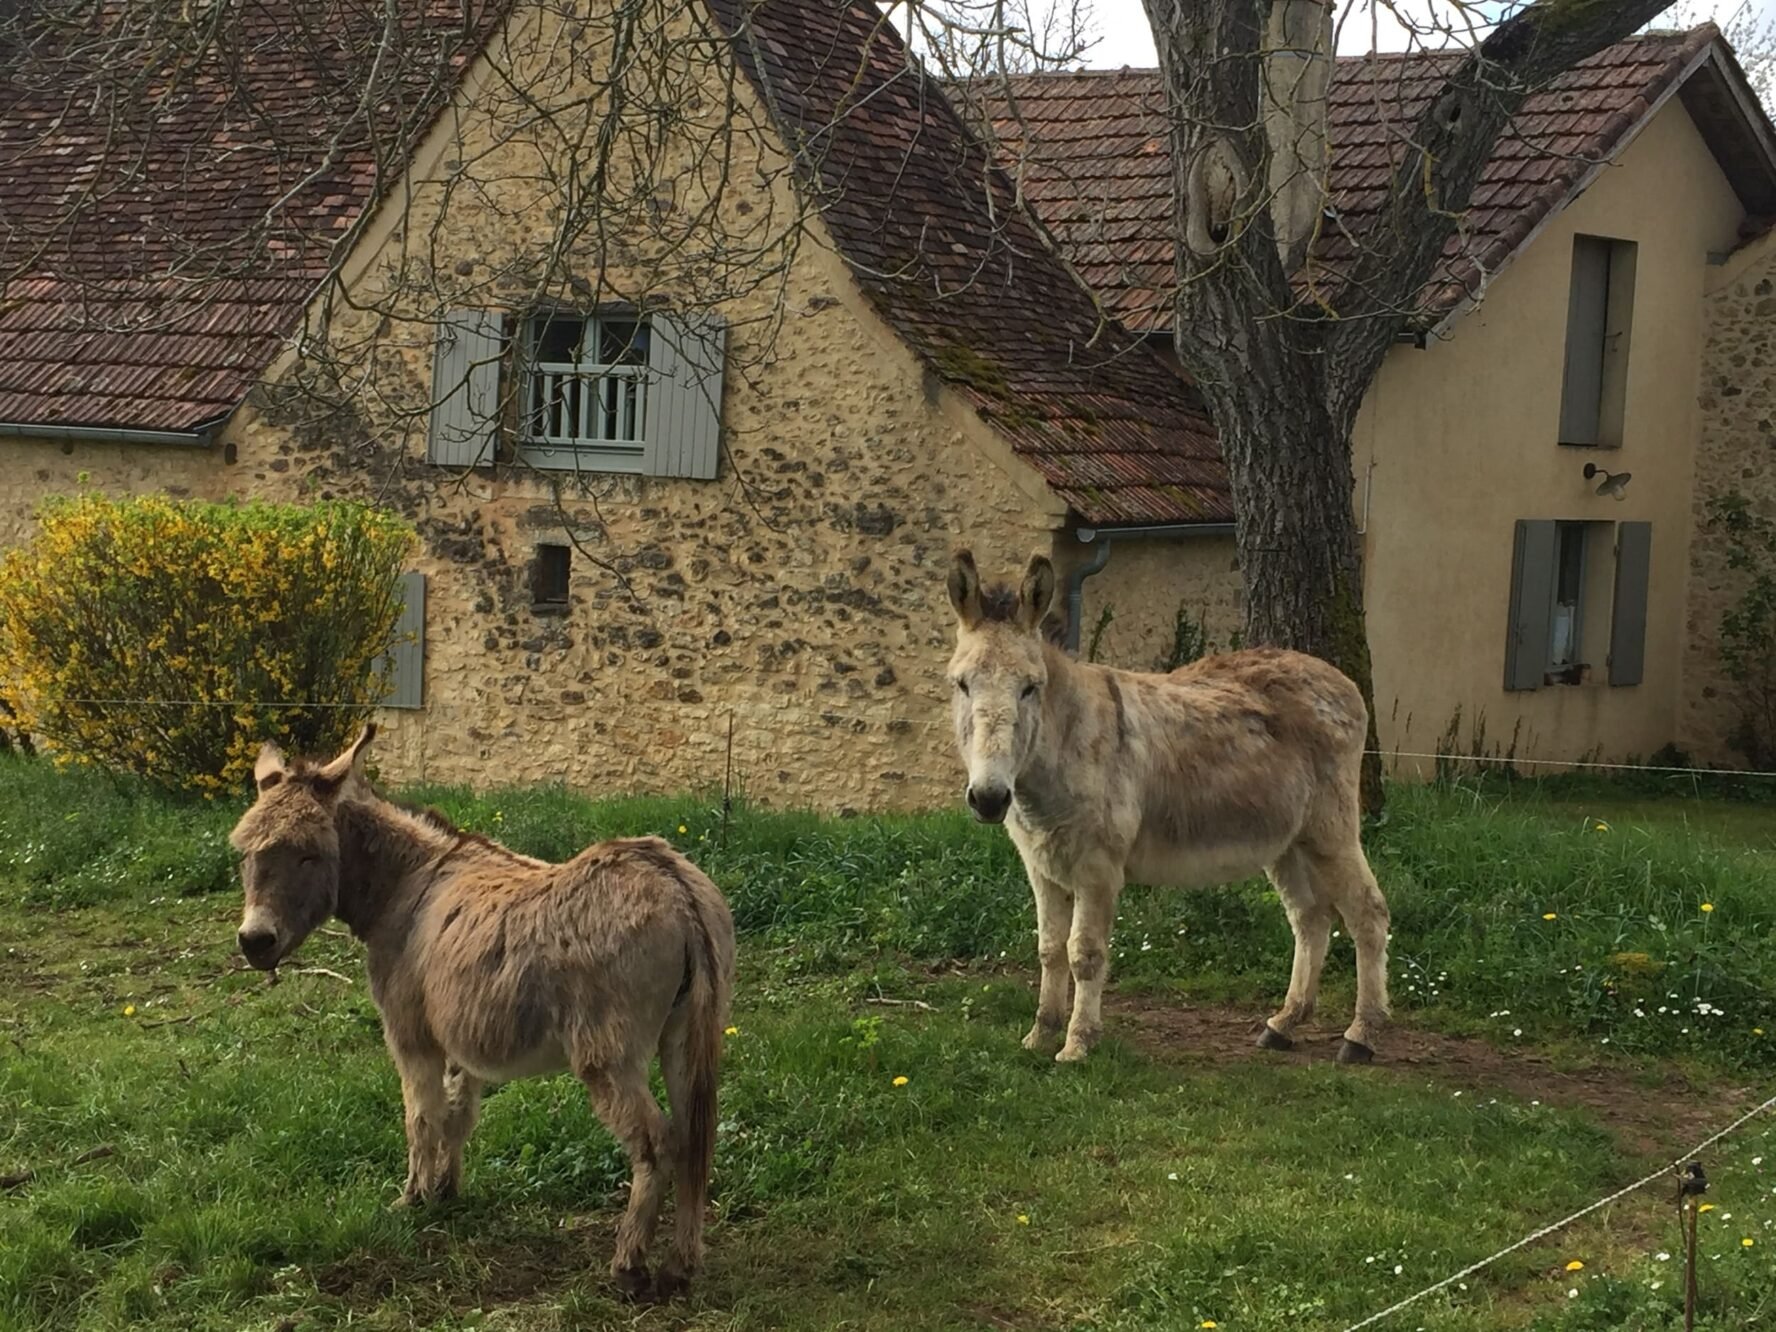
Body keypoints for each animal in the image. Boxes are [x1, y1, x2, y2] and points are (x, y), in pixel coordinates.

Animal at [229, 724, 735, 1297]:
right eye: (243, 853)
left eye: (309, 854)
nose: (254, 943)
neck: (404, 883)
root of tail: (675, 885)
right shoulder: (457, 1038)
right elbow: (458, 1113)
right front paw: (446, 1192)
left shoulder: (411, 1036)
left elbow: (420, 1117)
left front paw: (412, 1199)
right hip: (686, 1036)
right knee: (696, 1137)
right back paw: (681, 1265)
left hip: (608, 1055)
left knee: (657, 1143)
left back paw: (629, 1264)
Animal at [944, 549, 1390, 1066]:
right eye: (962, 685)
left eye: (1030, 688)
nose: (989, 798)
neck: (1065, 742)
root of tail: (1340, 678)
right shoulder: (1042, 866)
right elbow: (1049, 950)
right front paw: (1040, 1034)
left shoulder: (1098, 869)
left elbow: (1084, 954)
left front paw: (1078, 1044)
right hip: (1286, 841)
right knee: (1311, 917)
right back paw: (1283, 1024)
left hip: (1329, 830)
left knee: (1368, 913)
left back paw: (1361, 1035)